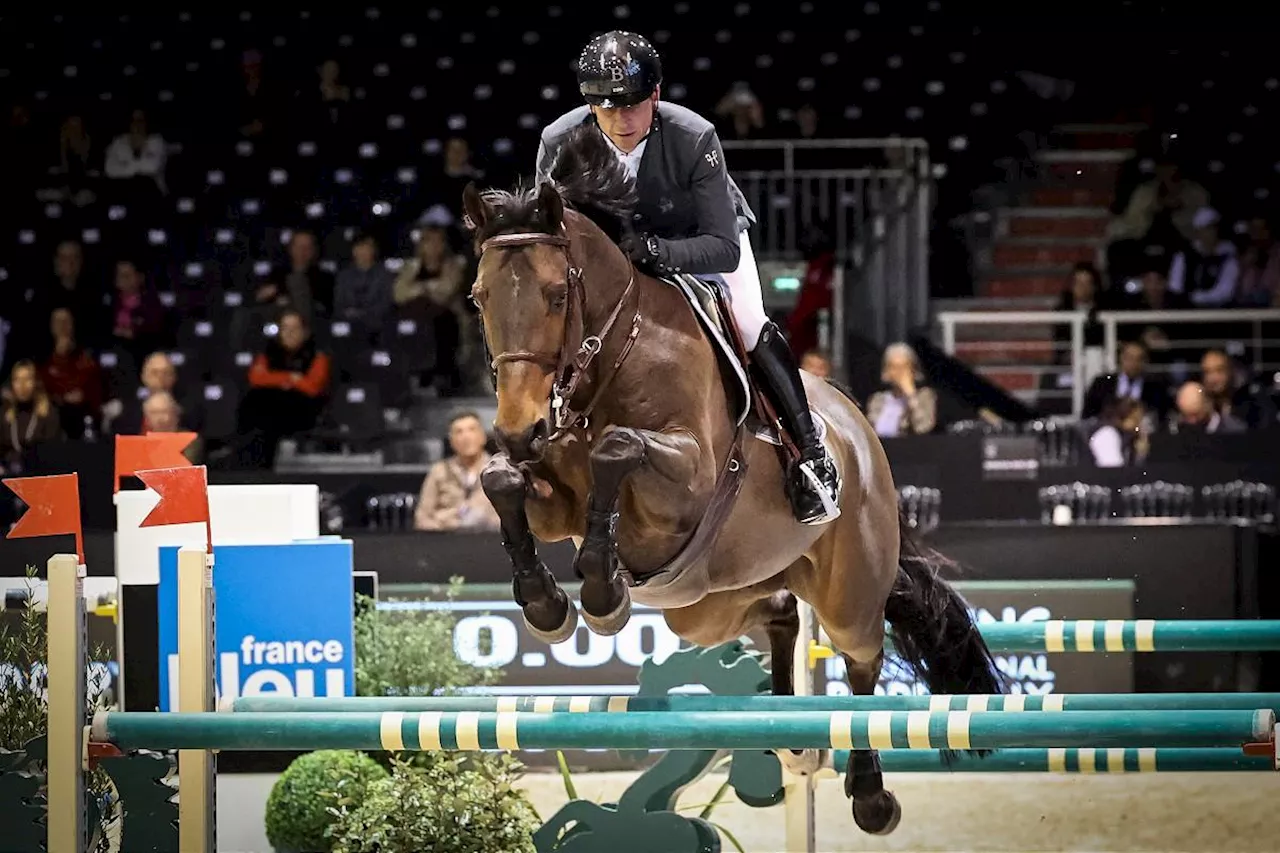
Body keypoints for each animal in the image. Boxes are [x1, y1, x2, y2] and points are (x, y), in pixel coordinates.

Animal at [465, 126, 1003, 829]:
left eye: (558, 296)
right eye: (479, 298)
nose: (517, 429)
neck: (609, 361)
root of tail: (859, 429)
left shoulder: (685, 483)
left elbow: (617, 450)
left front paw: (602, 592)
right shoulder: (553, 498)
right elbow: (502, 483)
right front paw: (546, 603)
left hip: (847, 592)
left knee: (862, 665)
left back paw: (870, 795)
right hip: (705, 605)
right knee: (777, 611)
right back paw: (783, 733)